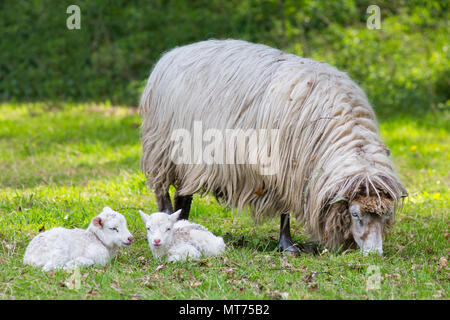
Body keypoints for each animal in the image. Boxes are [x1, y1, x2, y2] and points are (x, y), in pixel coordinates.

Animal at [139, 39, 406, 255]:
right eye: (355, 214)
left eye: (385, 216)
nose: (375, 254)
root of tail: (173, 53)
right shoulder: (283, 168)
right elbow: (285, 210)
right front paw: (287, 246)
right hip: (161, 150)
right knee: (163, 193)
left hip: (187, 159)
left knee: (183, 194)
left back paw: (182, 223)